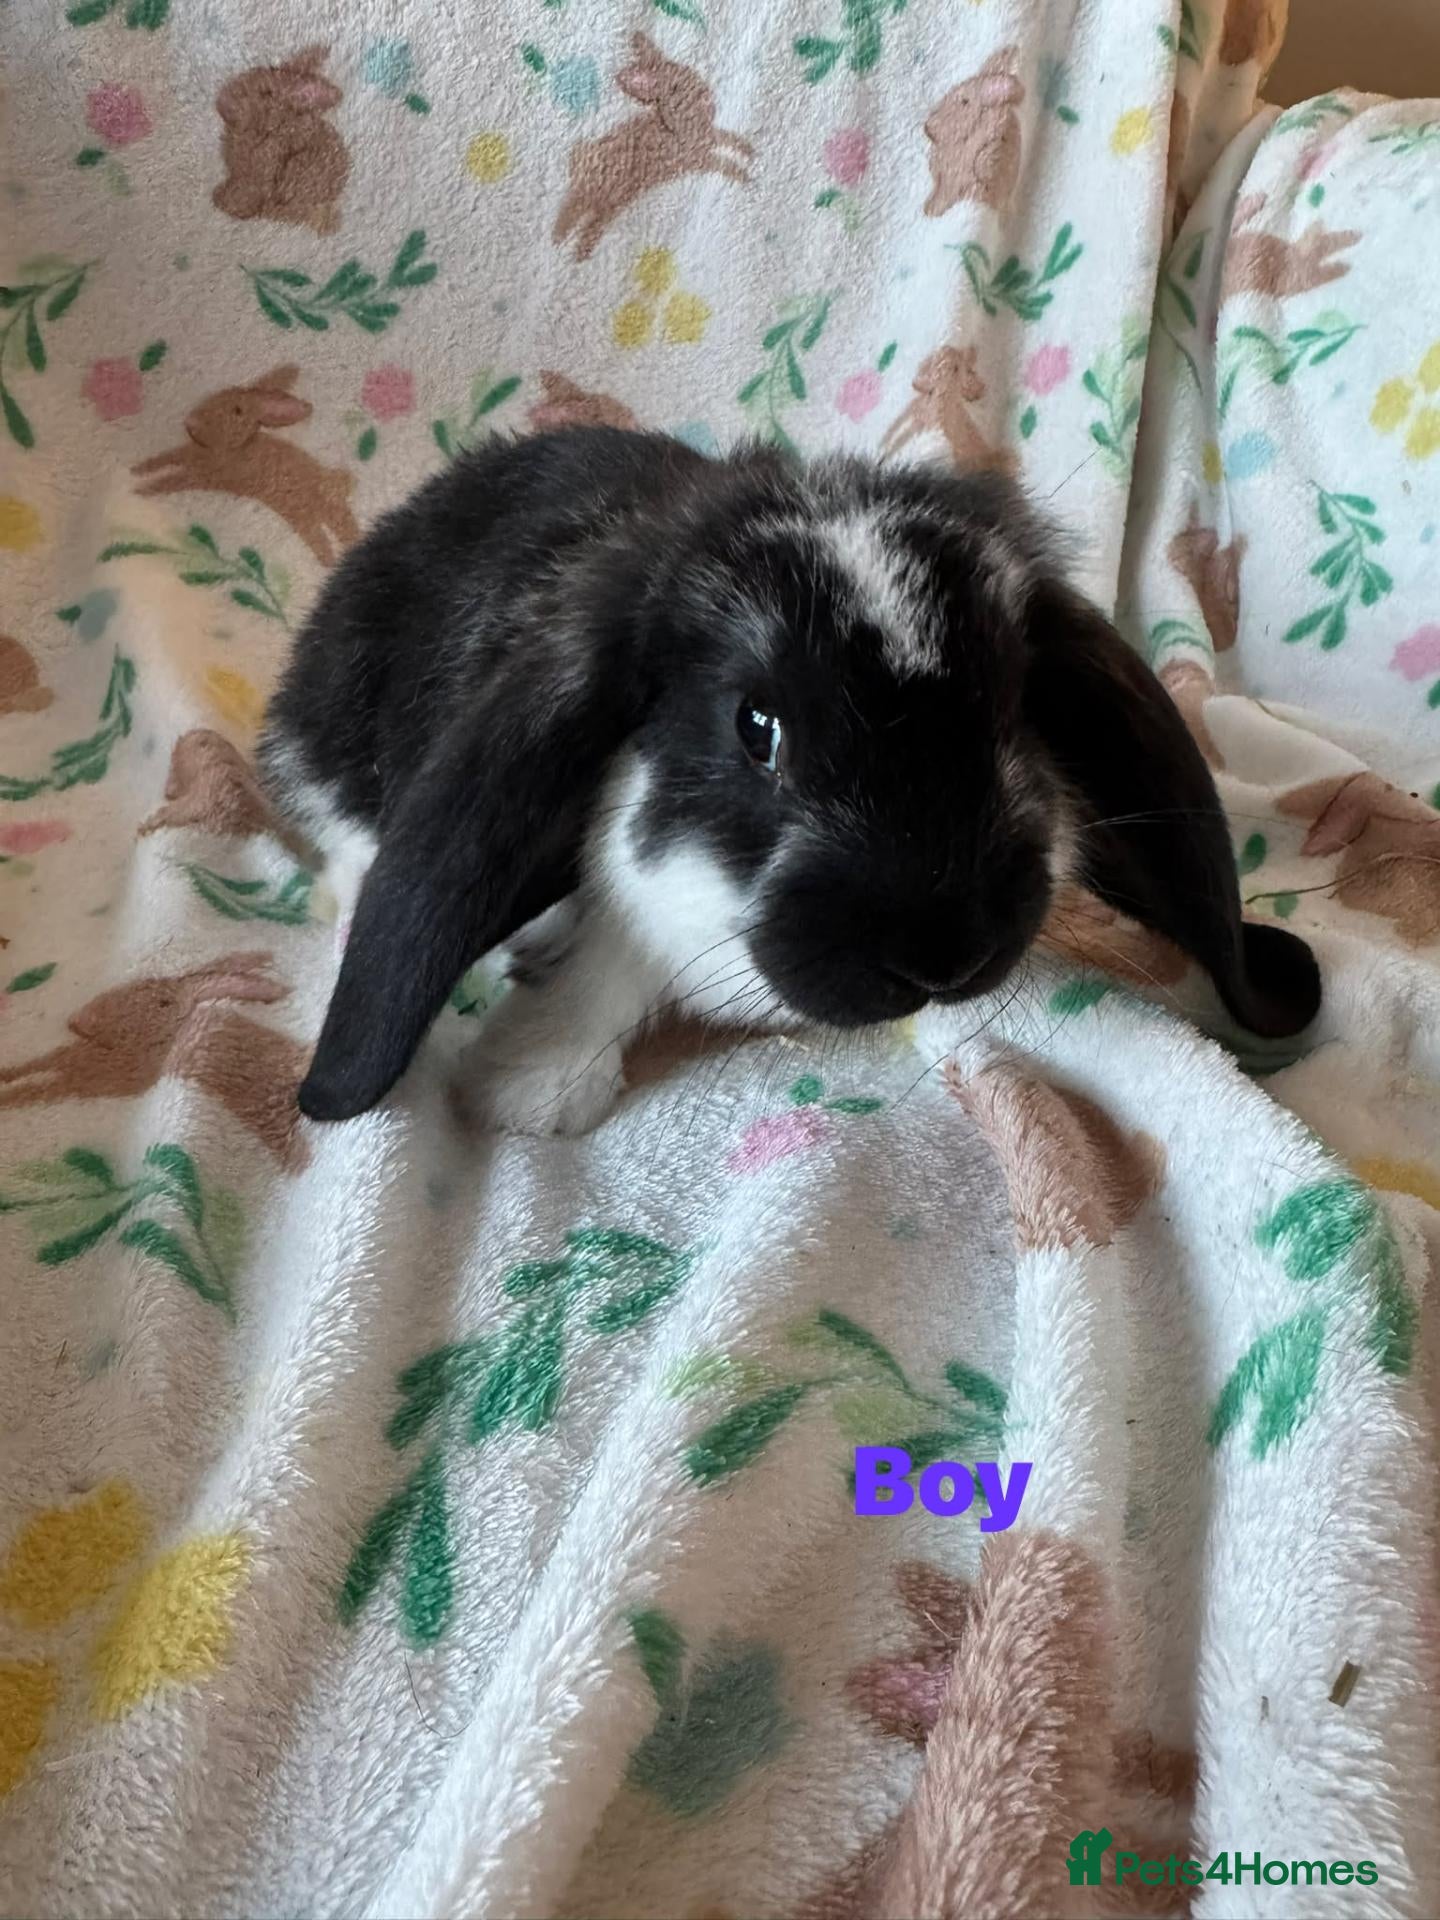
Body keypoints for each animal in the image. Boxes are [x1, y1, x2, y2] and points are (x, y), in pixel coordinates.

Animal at [132, 365, 359, 566]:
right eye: (215, 396)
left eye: (238, 411)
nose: (190, 420)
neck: (234, 449)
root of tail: (334, 488)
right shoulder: (188, 456)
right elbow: (164, 459)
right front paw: (138, 470)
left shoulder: (202, 474)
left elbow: (170, 481)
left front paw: (141, 490)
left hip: (303, 515)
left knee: (321, 537)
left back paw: (331, 561)